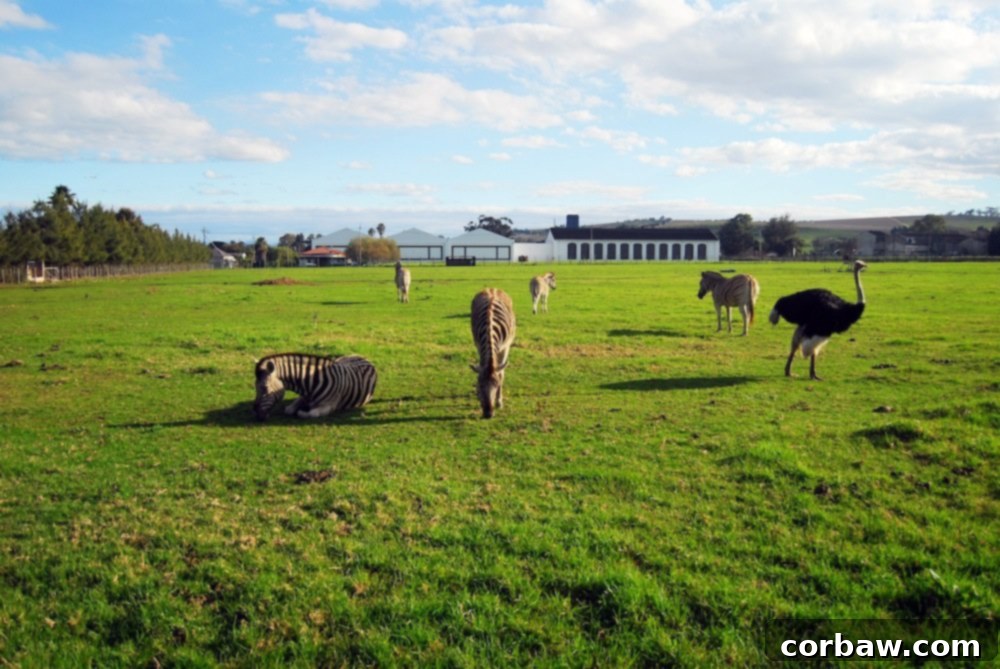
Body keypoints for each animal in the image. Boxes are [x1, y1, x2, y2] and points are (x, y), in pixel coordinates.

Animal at [470, 288, 516, 418]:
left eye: (496, 384)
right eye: (480, 384)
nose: (488, 414)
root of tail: (491, 288)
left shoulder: (505, 347)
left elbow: (501, 374)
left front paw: (499, 401)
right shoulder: (480, 346)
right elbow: (481, 367)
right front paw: (479, 396)